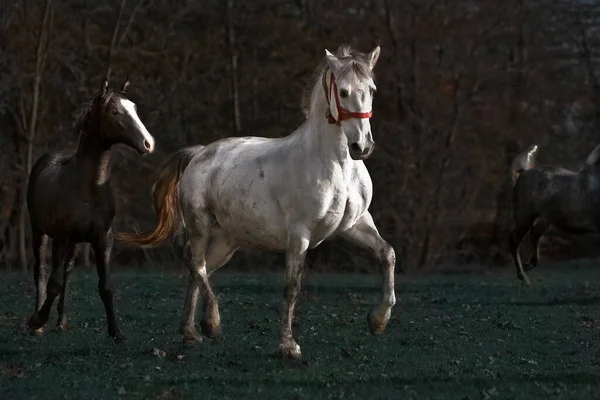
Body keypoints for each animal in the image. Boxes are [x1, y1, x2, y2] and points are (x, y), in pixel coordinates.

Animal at [27, 78, 156, 344]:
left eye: (134, 108)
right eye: (115, 111)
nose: (148, 144)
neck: (89, 188)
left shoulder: (102, 239)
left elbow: (105, 286)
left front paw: (116, 332)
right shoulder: (61, 238)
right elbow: (53, 282)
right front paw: (38, 320)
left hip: (74, 242)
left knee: (67, 271)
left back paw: (62, 321)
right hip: (39, 232)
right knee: (41, 271)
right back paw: (38, 325)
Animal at [117, 43, 398, 360]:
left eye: (371, 90)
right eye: (343, 92)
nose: (362, 146)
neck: (336, 165)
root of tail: (199, 153)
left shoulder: (355, 225)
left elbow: (388, 253)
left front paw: (378, 321)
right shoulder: (299, 234)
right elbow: (292, 287)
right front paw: (288, 346)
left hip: (227, 242)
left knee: (199, 270)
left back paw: (190, 332)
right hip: (200, 226)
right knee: (196, 265)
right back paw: (211, 324)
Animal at [508, 142, 600, 286]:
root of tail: (523, 173)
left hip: (544, 222)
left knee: (533, 237)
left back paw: (527, 267)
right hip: (524, 219)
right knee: (514, 241)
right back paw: (523, 277)